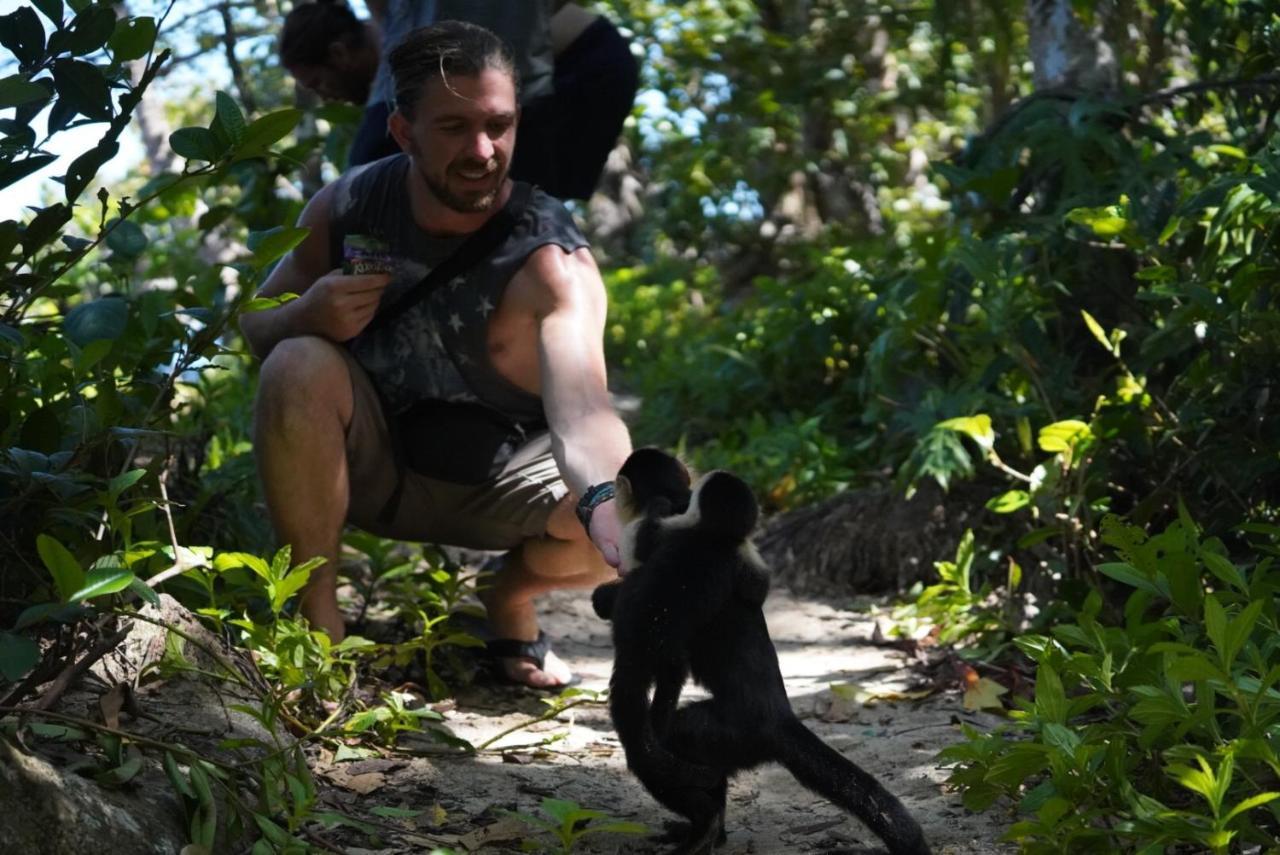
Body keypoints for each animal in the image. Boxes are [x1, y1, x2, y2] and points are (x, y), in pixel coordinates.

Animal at [588, 447, 931, 855]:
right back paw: (709, 830)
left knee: (672, 743)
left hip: (730, 732)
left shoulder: (643, 536)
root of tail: (780, 718)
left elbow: (650, 632)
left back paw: (702, 824)